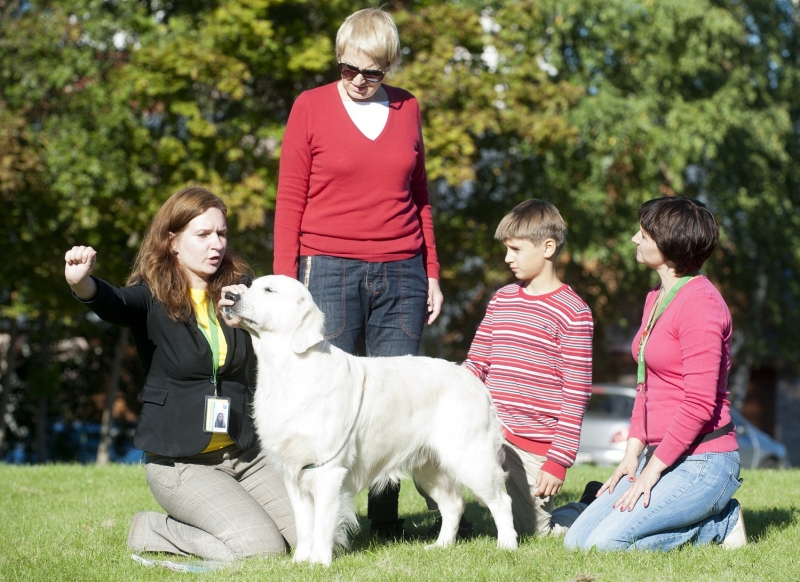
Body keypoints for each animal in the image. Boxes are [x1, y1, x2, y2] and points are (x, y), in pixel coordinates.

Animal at [222, 276, 516, 568]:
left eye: (269, 290)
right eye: (249, 286)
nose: (230, 297)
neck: (286, 368)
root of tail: (474, 381)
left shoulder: (327, 470)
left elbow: (322, 525)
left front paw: (319, 563)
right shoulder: (294, 472)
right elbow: (303, 525)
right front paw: (300, 562)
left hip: (469, 459)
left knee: (502, 501)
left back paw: (507, 546)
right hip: (428, 467)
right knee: (454, 505)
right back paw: (440, 545)